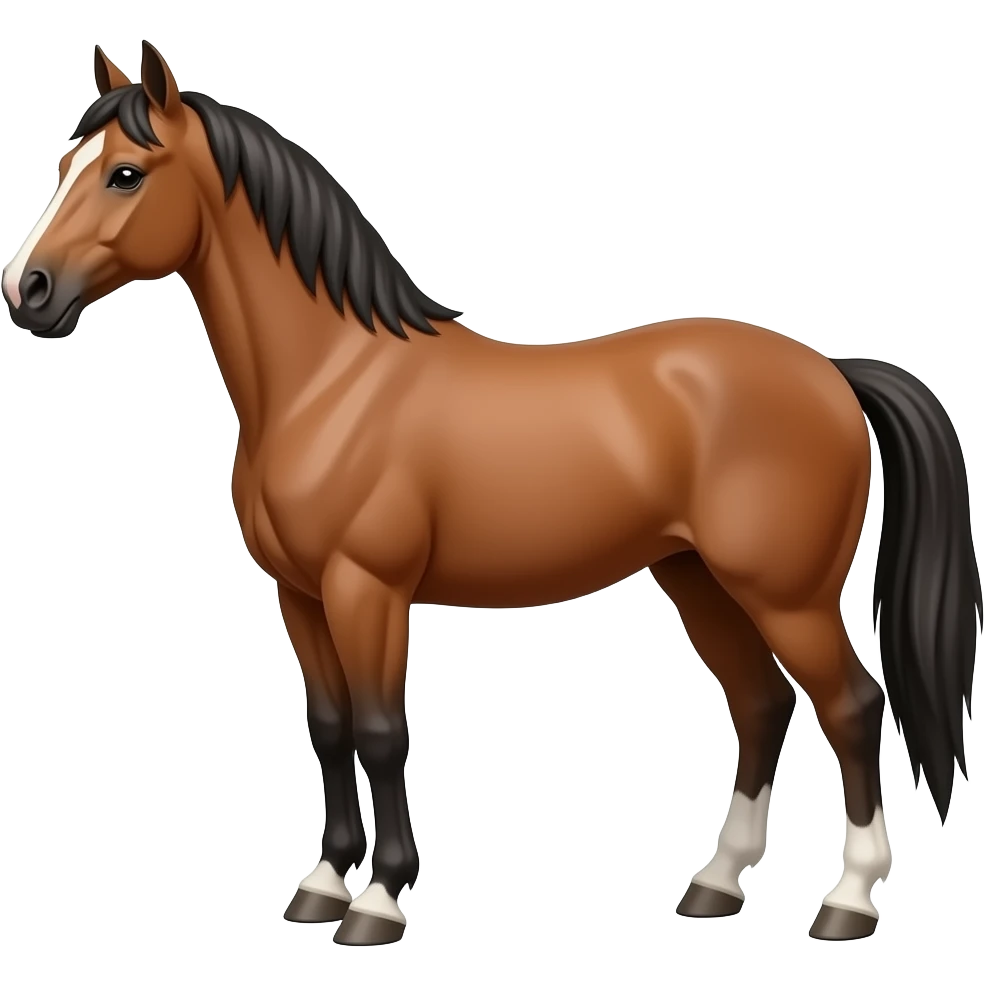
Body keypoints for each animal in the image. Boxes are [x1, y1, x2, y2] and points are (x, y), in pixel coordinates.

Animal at [3, 42, 980, 946]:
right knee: (761, 705)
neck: (332, 380)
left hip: (787, 594)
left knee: (852, 707)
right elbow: (328, 728)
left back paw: (849, 901)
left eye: (126, 174)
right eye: (66, 166)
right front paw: (320, 885)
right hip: (697, 579)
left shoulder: (368, 588)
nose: (28, 290)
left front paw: (378, 901)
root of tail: (830, 371)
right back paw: (715, 884)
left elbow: (380, 731)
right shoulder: (300, 594)